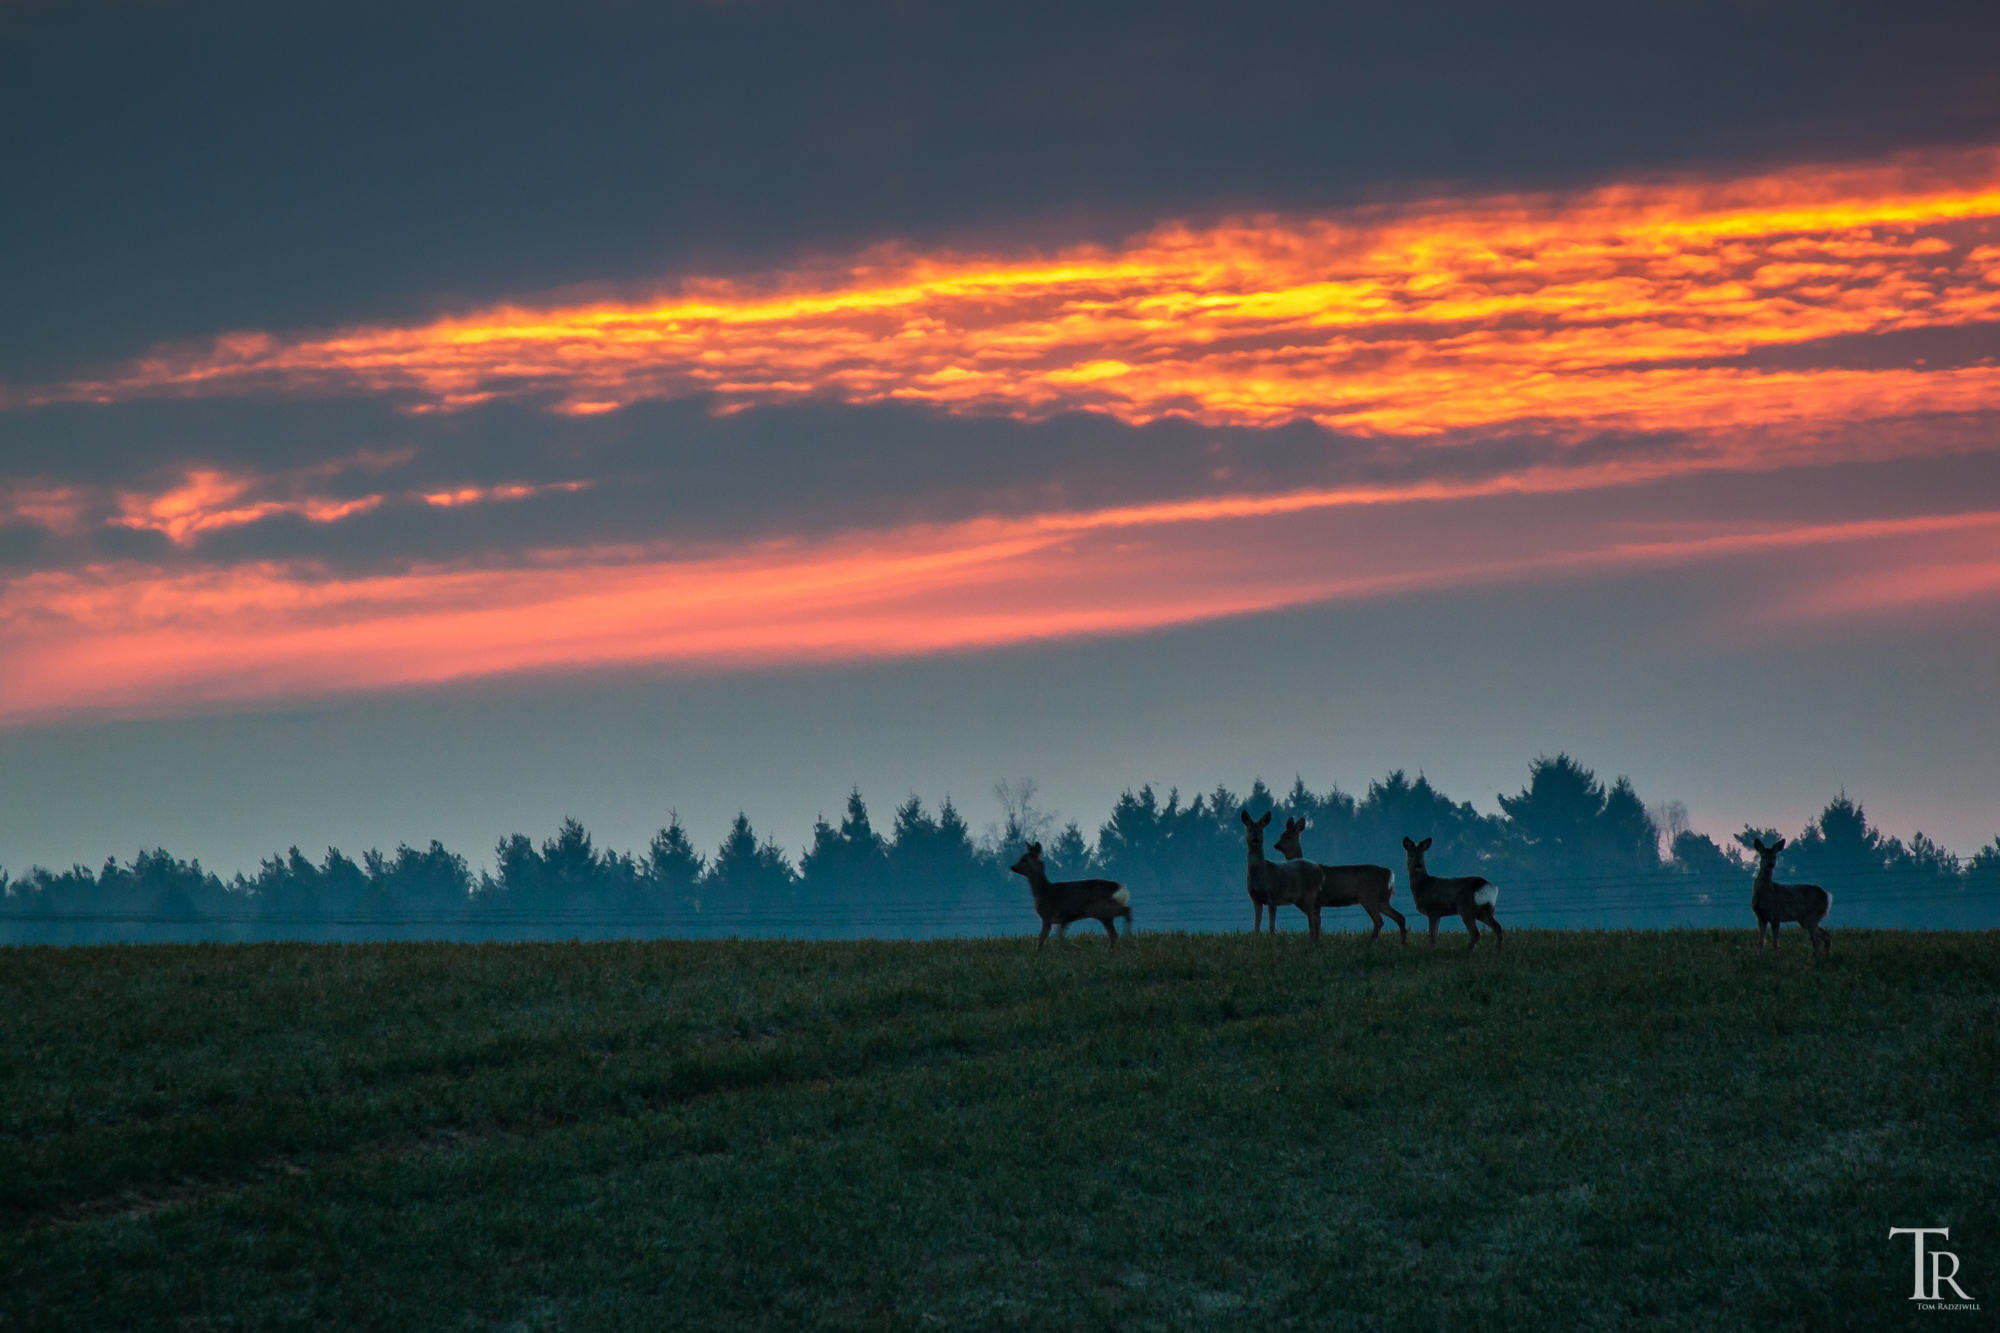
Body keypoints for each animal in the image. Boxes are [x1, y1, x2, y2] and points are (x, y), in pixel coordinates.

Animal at [1240, 804, 1320, 940]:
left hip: (1309, 894)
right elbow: (1256, 926)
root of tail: (1318, 870)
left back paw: (1312, 940)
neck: (1261, 873)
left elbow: (1272, 927)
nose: (1256, 839)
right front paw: (1256, 940)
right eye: (1250, 830)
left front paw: (1272, 941)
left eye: (1261, 830)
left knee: (1313, 918)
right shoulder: (1255, 899)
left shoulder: (1272, 896)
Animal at [1280, 816, 1408, 940]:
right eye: (1280, 836)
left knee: (1379, 921)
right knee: (1400, 917)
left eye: (1288, 837)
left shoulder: (1313, 900)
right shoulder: (1317, 903)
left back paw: (1367, 944)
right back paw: (1402, 944)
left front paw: (1313, 942)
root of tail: (1389, 873)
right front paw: (1316, 942)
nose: (1277, 845)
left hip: (1368, 896)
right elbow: (1317, 923)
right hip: (1382, 899)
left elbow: (1313, 923)